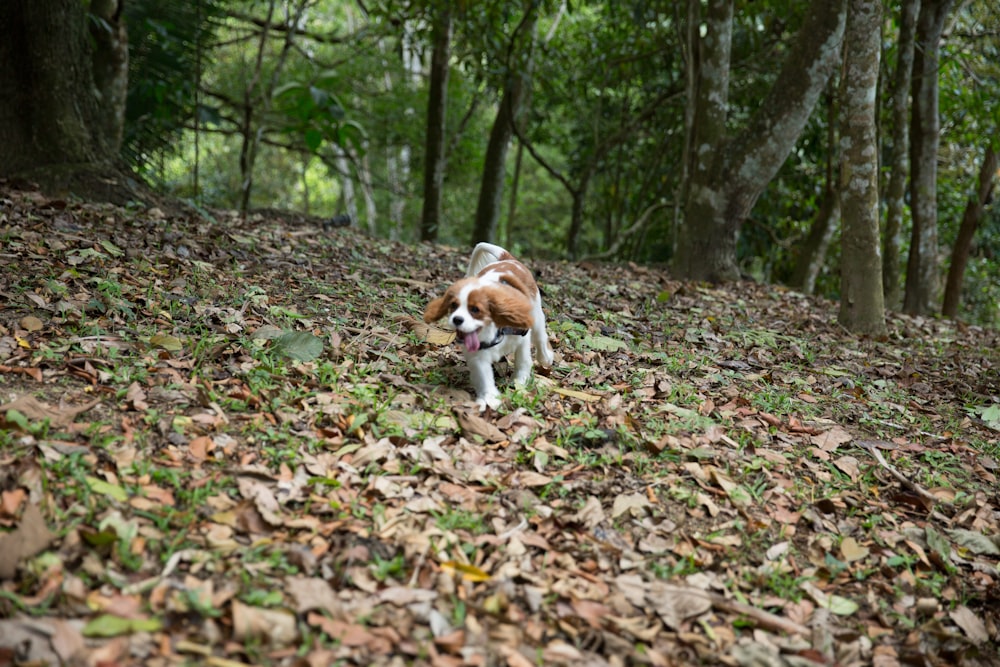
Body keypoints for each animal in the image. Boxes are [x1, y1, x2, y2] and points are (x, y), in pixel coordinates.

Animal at [424, 243, 556, 410]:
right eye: (453, 305)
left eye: (475, 310)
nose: (457, 319)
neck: (495, 332)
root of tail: (509, 259)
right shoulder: (477, 356)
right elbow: (484, 376)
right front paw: (489, 398)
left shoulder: (522, 338)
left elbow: (523, 361)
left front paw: (519, 383)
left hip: (536, 314)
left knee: (540, 337)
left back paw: (545, 357)